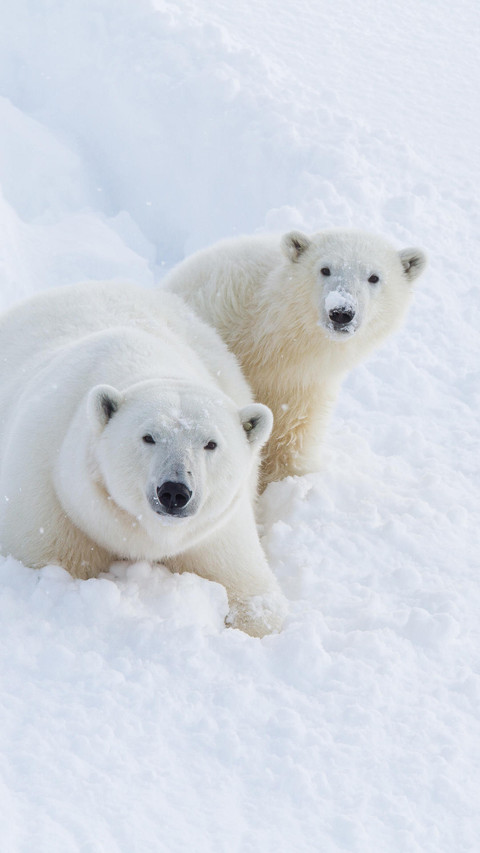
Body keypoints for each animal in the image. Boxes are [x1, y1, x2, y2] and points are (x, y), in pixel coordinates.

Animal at [0, 280, 287, 637]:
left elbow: (248, 586)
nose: (174, 491)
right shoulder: (49, 498)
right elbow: (49, 560)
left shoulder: (215, 528)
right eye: (149, 436)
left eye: (211, 444)